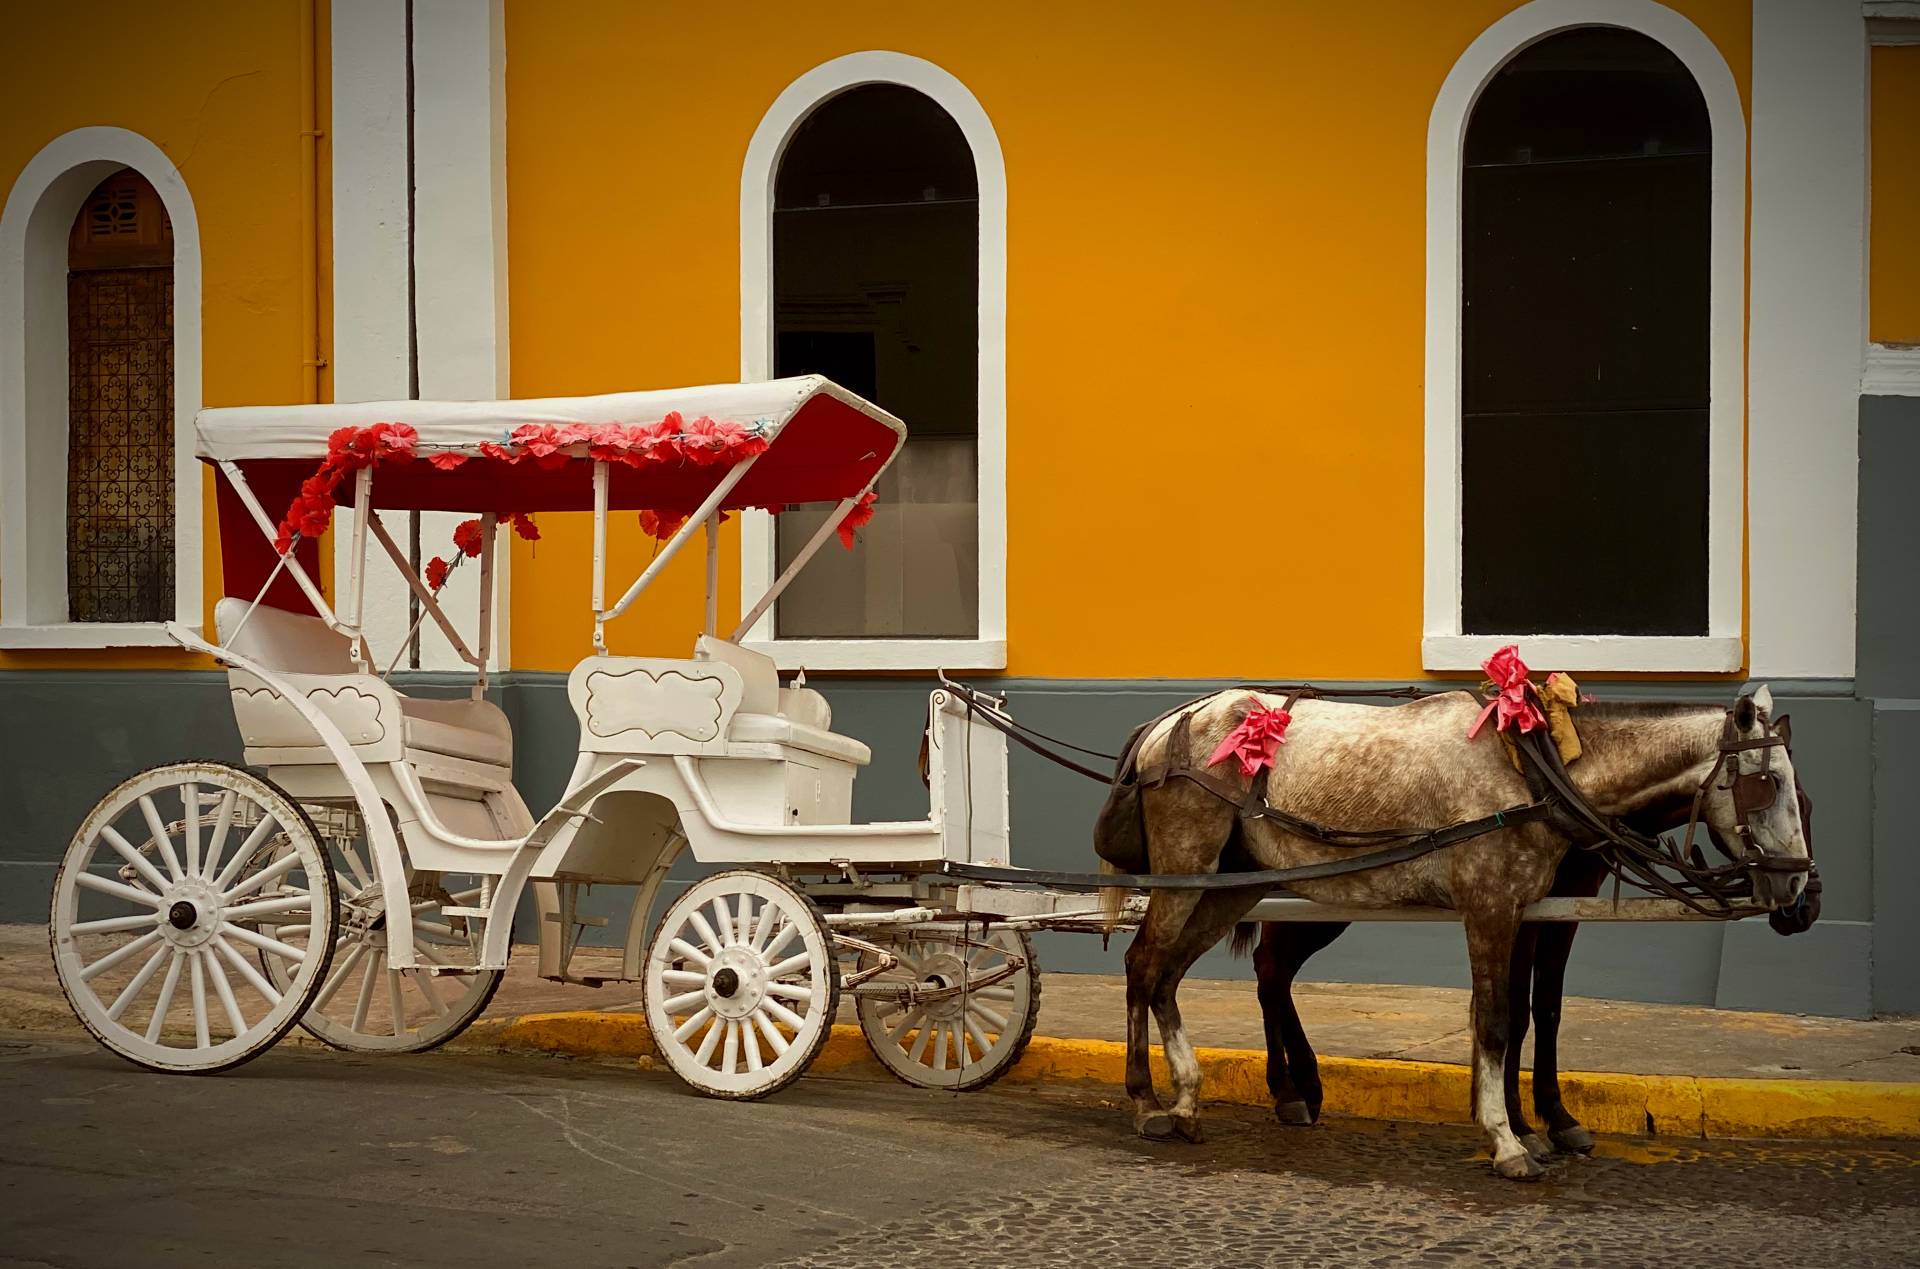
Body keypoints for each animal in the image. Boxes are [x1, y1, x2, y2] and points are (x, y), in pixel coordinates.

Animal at [1105, 683, 1804, 1174]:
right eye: (1769, 786)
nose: (1798, 891)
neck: (1533, 768)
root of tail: (1170, 723)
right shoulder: (1490, 904)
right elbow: (1495, 1020)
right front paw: (1508, 1141)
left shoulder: (1528, 909)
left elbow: (1523, 1013)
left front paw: (1527, 1127)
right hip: (1187, 869)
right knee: (1147, 965)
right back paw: (1148, 1101)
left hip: (1231, 885)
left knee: (1173, 974)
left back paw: (1191, 1099)